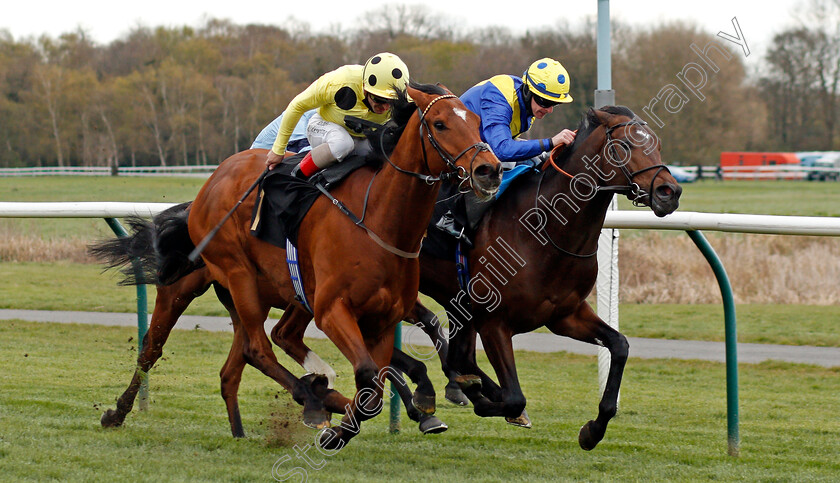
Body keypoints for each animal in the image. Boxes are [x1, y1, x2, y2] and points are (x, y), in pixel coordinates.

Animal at [93, 84, 498, 450]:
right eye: (441, 124)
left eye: (477, 122)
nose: (489, 170)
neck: (378, 219)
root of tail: (209, 184)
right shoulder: (332, 309)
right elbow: (370, 376)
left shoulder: (384, 317)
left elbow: (382, 376)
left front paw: (448, 393)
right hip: (225, 276)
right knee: (207, 348)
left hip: (251, 296)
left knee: (240, 361)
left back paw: (254, 423)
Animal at [416, 106, 684, 450]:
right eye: (625, 145)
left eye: (658, 144)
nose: (670, 192)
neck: (545, 231)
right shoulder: (493, 321)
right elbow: (515, 398)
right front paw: (487, 398)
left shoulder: (565, 315)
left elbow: (620, 345)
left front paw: (593, 430)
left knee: (457, 354)